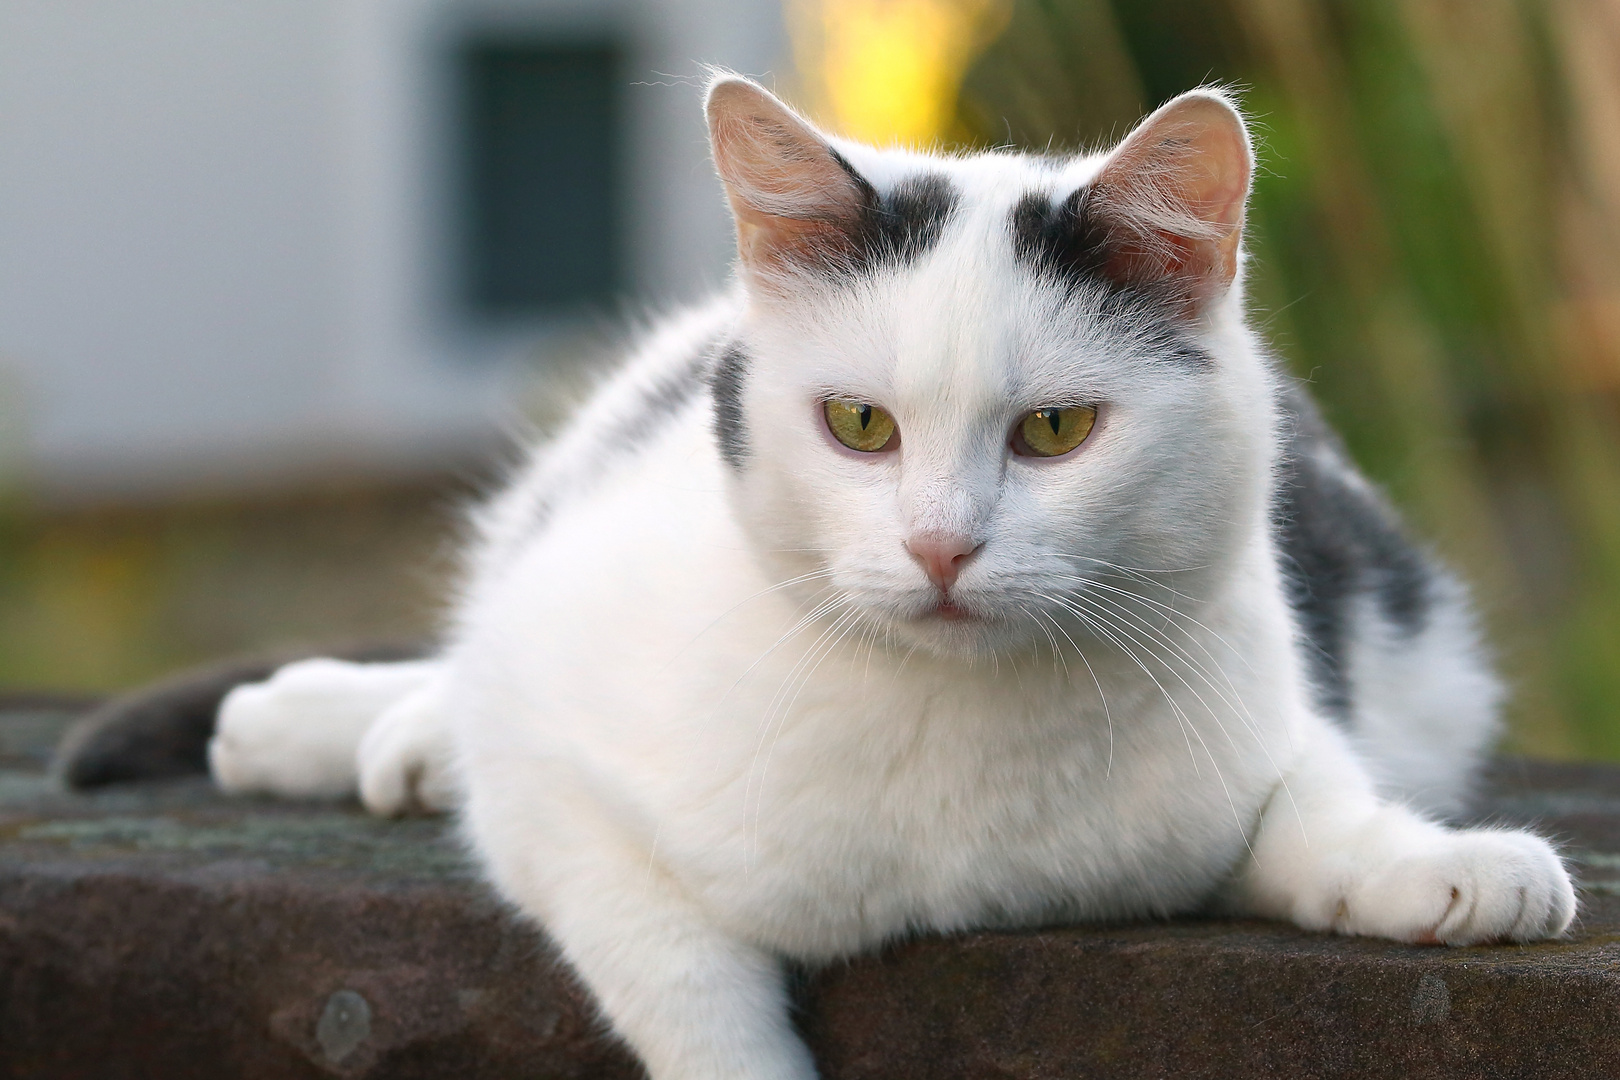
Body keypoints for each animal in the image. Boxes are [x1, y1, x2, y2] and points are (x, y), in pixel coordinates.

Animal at [202, 76, 1568, 1080]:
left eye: (1057, 431)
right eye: (859, 424)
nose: (940, 546)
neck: (956, 749)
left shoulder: (1265, 733)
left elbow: (1320, 809)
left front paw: (1443, 870)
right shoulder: (560, 778)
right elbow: (681, 977)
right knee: (469, 666)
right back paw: (334, 729)